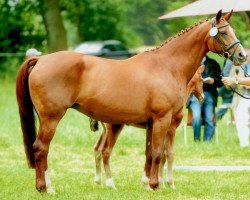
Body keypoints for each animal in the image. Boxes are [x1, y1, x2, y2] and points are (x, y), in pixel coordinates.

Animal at [16, 10, 247, 192]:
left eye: (232, 30)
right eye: (224, 32)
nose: (242, 55)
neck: (167, 66)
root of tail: (41, 59)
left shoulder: (151, 123)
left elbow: (150, 153)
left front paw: (149, 183)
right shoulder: (163, 120)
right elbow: (158, 153)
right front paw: (155, 185)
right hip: (51, 118)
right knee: (41, 149)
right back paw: (45, 188)